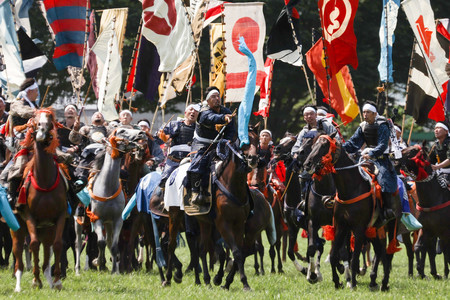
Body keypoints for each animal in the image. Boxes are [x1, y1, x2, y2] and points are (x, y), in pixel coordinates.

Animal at [11, 109, 67, 292]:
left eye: (50, 119)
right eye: (35, 119)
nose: (42, 132)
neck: (44, 180)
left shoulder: (61, 215)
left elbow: (57, 244)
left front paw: (57, 281)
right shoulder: (29, 216)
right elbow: (34, 244)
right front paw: (36, 280)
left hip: (47, 228)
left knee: (47, 251)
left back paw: (49, 280)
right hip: (17, 227)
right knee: (18, 252)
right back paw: (18, 285)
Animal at [87, 127, 145, 274]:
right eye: (122, 131)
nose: (141, 133)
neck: (107, 188)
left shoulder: (118, 219)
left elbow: (114, 245)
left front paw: (115, 270)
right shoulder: (97, 219)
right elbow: (101, 243)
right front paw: (99, 263)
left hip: (110, 223)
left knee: (110, 241)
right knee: (104, 241)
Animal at [304, 133, 392, 290]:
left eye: (324, 146)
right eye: (313, 145)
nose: (307, 164)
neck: (350, 189)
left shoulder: (358, 228)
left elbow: (353, 256)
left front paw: (351, 282)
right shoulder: (336, 225)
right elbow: (329, 253)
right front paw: (334, 280)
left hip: (381, 228)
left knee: (382, 251)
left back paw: (381, 281)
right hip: (374, 230)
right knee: (379, 251)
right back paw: (376, 282)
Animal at [398, 145, 450, 278]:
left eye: (412, 150)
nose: (393, 155)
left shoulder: (444, 231)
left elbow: (444, 251)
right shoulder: (426, 229)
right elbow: (418, 247)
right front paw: (421, 272)